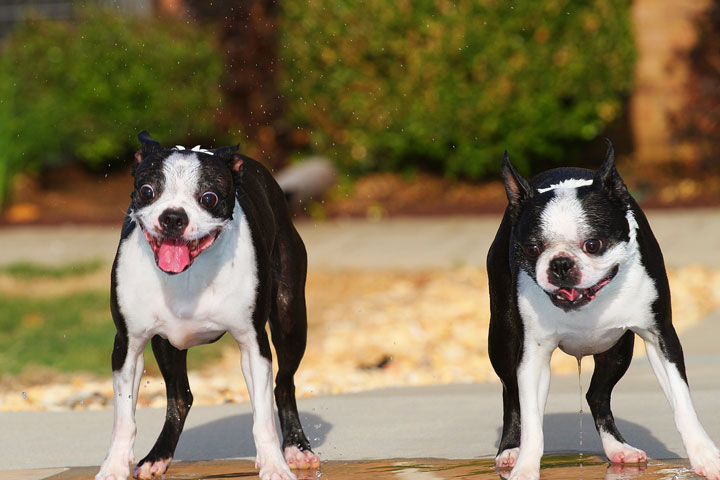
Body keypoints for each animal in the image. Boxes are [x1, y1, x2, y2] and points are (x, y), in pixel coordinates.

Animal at [95, 131, 318, 480]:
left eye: (209, 198)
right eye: (148, 191)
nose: (173, 216)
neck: (188, 274)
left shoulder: (253, 345)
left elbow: (263, 419)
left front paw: (274, 465)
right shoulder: (128, 347)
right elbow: (124, 420)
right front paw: (114, 467)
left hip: (290, 317)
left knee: (283, 384)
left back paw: (296, 448)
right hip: (166, 345)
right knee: (180, 398)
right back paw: (157, 457)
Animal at [486, 142, 716, 480]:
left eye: (593, 244)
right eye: (531, 249)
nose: (560, 264)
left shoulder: (660, 336)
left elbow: (682, 402)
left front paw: (705, 456)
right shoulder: (533, 353)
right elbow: (531, 419)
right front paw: (525, 467)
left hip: (617, 350)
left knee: (596, 394)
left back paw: (617, 448)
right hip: (502, 337)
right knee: (511, 392)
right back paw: (510, 451)